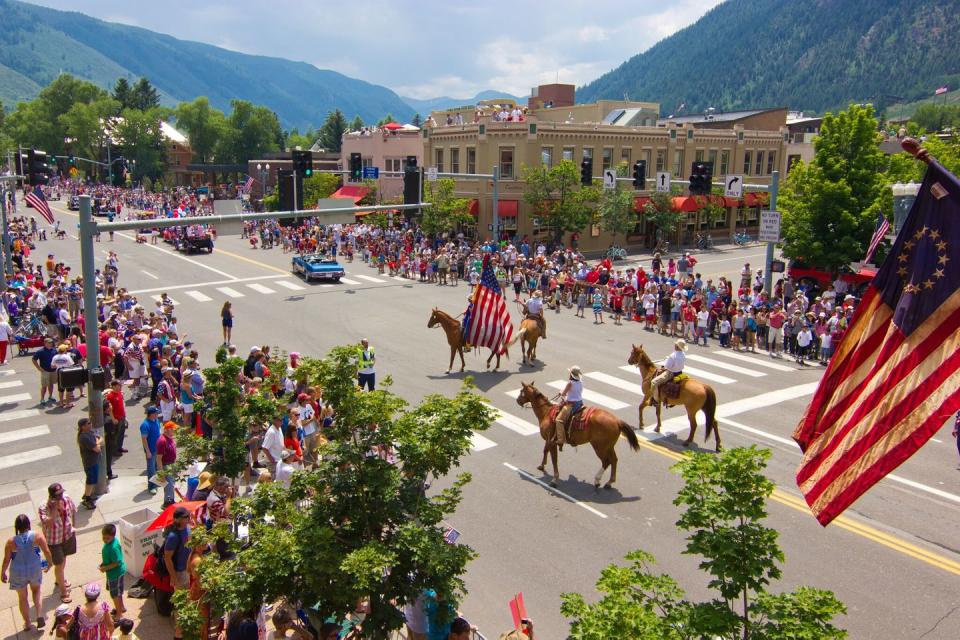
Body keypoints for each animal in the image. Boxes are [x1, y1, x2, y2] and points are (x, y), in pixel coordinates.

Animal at [512, 380, 640, 490]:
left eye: (521, 391)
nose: (517, 400)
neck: (546, 413)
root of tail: (617, 421)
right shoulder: (549, 440)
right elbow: (545, 451)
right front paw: (542, 466)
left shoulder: (553, 442)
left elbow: (554, 460)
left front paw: (554, 479)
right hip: (609, 447)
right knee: (614, 460)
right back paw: (609, 482)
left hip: (600, 447)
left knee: (606, 461)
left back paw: (597, 480)